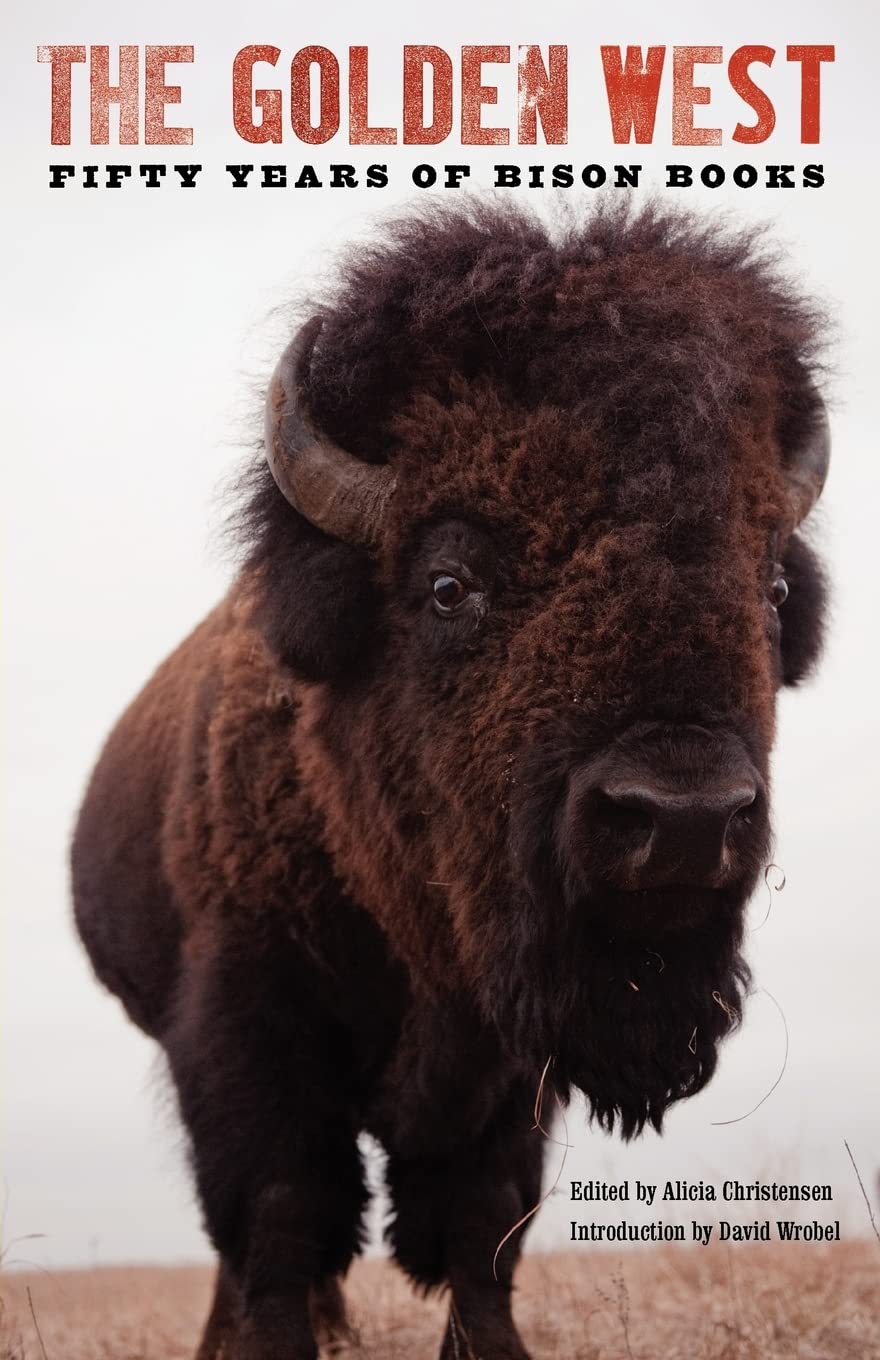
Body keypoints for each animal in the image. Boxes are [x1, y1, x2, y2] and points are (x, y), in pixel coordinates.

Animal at [72, 200, 830, 1360]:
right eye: (446, 584)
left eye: (776, 587)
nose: (684, 817)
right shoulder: (246, 1019)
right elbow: (282, 1213)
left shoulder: (511, 1063)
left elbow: (484, 1223)